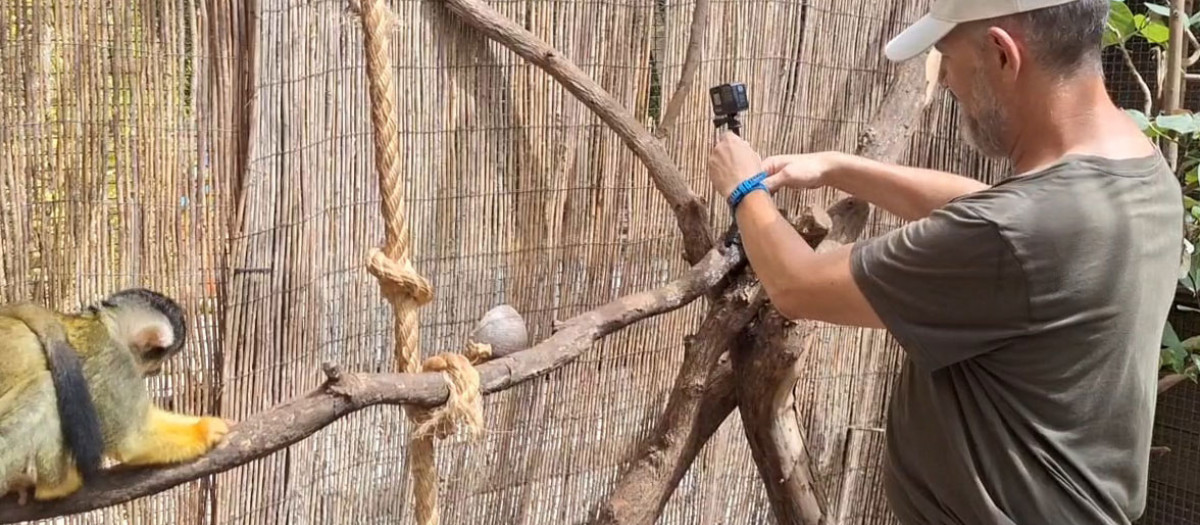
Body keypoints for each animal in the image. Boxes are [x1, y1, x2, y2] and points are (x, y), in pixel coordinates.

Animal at [0, 288, 230, 502]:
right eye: (159, 360)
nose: (158, 371)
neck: (106, 326)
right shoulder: (111, 359)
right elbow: (132, 440)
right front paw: (204, 429)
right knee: (46, 388)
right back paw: (56, 487)